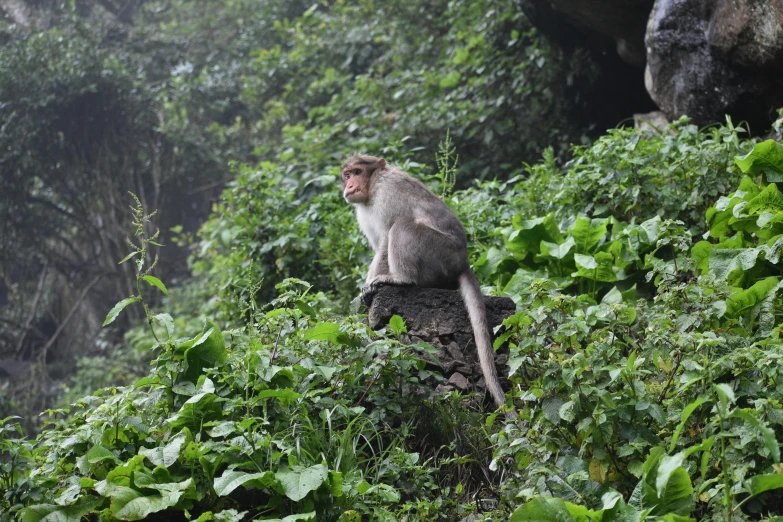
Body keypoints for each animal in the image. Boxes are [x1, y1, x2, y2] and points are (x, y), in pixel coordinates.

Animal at [340, 152, 506, 408]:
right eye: (347, 175)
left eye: (358, 172)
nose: (349, 185)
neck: (373, 186)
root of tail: (463, 261)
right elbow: (379, 245)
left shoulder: (388, 192)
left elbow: (386, 238)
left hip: (440, 253)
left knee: (403, 224)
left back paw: (401, 279)